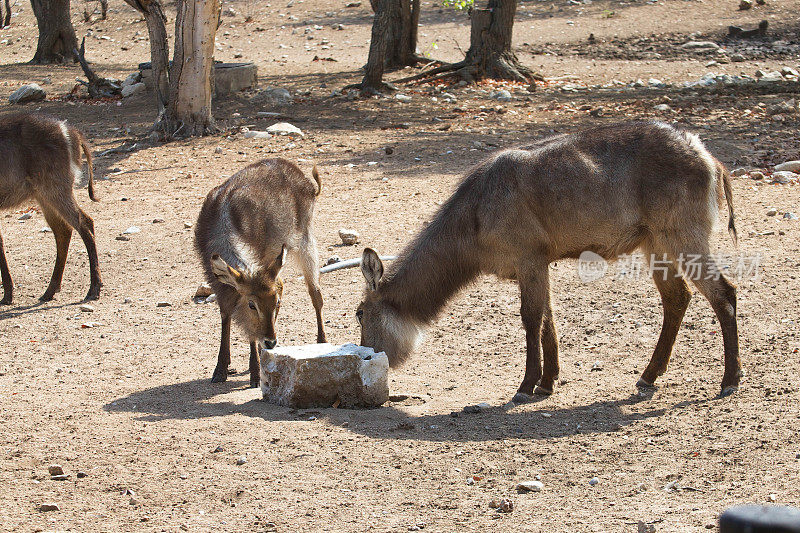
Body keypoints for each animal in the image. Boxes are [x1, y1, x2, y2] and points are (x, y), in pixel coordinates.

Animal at [0, 112, 103, 304]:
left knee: (85, 223)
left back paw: (93, 289)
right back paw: (50, 291)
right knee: (64, 230)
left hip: (55, 189)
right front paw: (8, 295)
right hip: (44, 196)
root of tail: (72, 131)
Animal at [195, 158, 326, 386]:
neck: (224, 225)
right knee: (284, 284)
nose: (271, 341)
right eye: (252, 304)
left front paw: (256, 373)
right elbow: (226, 316)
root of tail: (309, 184)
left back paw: (321, 341)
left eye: (277, 303)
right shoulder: (221, 286)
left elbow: (250, 331)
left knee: (315, 293)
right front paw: (220, 369)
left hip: (305, 242)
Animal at [358, 120, 744, 402]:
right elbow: (547, 318)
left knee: (724, 292)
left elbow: (531, 319)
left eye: (359, 312)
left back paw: (729, 380)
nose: (368, 354)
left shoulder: (528, 258)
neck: (473, 218)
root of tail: (708, 157)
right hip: (654, 243)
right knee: (677, 297)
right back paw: (648, 375)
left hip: (683, 235)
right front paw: (547, 382)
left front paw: (525, 385)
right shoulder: (539, 264)